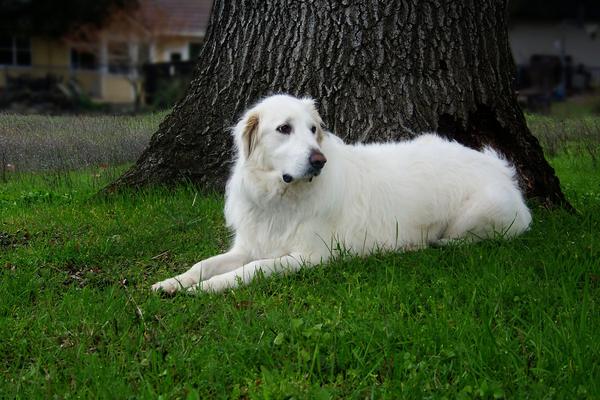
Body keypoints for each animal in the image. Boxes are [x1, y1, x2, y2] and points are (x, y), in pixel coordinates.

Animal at [152, 94, 532, 294]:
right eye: (284, 129)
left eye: (313, 130)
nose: (318, 160)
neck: (282, 196)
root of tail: (499, 165)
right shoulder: (249, 245)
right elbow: (205, 263)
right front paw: (173, 283)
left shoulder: (308, 257)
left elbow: (251, 269)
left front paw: (202, 290)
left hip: (482, 211)